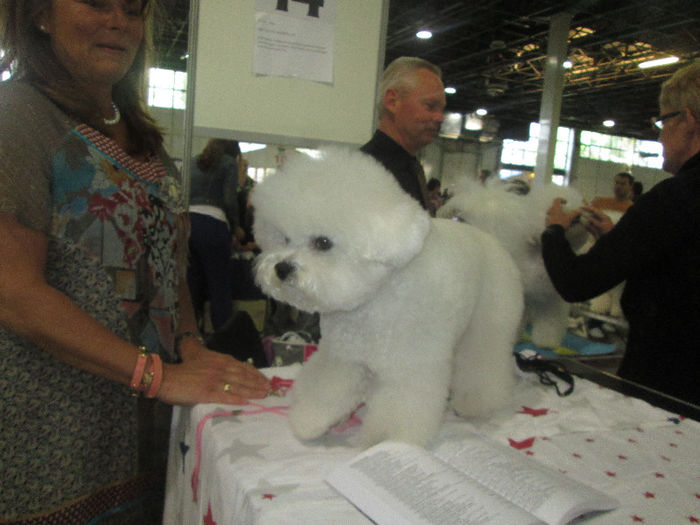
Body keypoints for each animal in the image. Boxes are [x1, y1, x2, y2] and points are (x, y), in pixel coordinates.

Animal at [253, 148, 524, 446]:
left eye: (323, 243)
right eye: (285, 239)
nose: (281, 269)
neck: (377, 297)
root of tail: (492, 238)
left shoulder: (410, 364)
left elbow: (399, 407)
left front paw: (388, 441)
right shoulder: (343, 355)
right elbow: (326, 386)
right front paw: (308, 419)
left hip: (488, 323)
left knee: (484, 362)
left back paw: (475, 403)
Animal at [438, 179, 592, 348]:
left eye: (579, 202)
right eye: (560, 203)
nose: (579, 212)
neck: (539, 253)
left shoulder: (552, 301)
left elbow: (551, 323)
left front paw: (547, 342)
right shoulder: (523, 298)